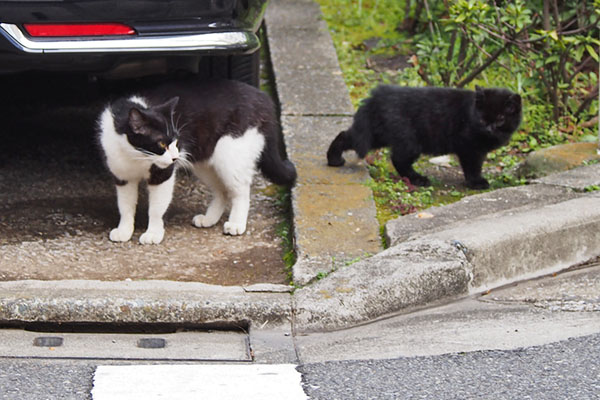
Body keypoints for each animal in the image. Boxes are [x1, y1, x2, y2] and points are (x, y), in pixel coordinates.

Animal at [98, 79, 298, 244]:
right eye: (162, 143)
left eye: (176, 141)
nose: (175, 157)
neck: (136, 156)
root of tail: (262, 97)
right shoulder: (122, 177)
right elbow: (125, 206)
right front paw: (124, 230)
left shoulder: (163, 174)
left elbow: (155, 209)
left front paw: (153, 233)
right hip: (205, 163)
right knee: (222, 191)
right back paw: (209, 219)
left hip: (230, 155)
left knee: (241, 192)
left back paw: (236, 223)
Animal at [328, 85, 520, 188]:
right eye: (482, 118)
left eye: (500, 118)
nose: (489, 128)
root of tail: (378, 95)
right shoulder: (469, 148)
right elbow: (473, 167)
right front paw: (476, 183)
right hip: (409, 141)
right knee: (398, 159)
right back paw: (418, 179)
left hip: (378, 134)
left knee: (347, 135)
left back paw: (334, 160)